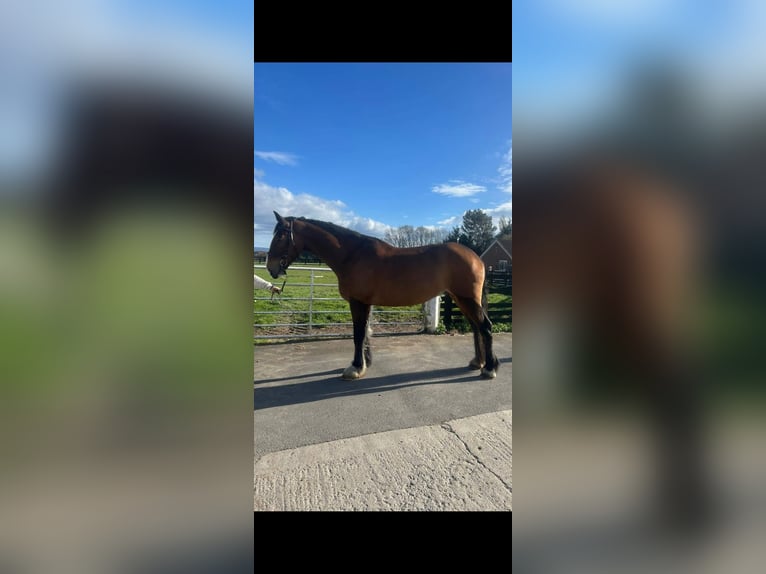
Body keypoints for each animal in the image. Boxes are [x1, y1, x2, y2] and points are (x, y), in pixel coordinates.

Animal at [265, 211, 500, 380]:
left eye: (281, 235)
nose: (271, 268)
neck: (352, 255)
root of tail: (475, 257)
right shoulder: (365, 303)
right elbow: (366, 332)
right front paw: (365, 362)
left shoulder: (358, 302)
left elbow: (359, 333)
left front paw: (355, 368)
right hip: (461, 299)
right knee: (476, 328)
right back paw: (477, 362)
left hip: (467, 299)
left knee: (485, 327)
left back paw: (489, 369)